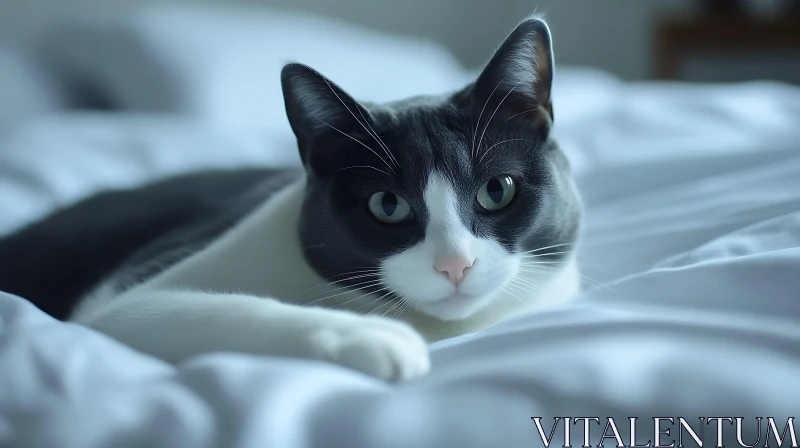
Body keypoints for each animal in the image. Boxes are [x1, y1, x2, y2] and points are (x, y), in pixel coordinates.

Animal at [0, 16, 580, 382]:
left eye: (496, 190)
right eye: (387, 206)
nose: (455, 265)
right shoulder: (119, 302)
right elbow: (180, 310)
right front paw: (374, 339)